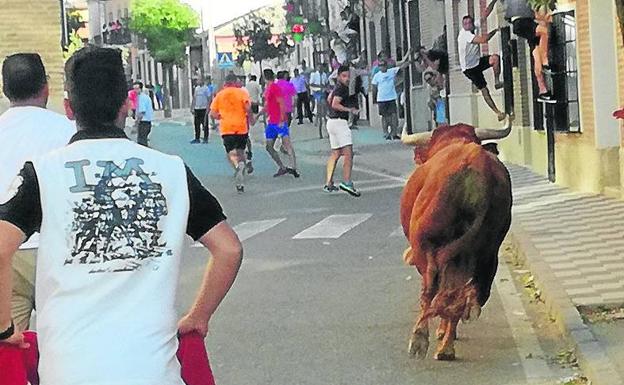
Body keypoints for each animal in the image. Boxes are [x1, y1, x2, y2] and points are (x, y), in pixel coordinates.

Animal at [400, 117, 512, 360]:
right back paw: (446, 347)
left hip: (426, 245)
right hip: (486, 251)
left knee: (431, 288)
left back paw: (420, 339)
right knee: (463, 290)